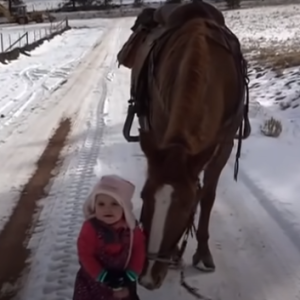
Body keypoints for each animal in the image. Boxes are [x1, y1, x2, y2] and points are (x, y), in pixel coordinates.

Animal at [117, 3, 251, 292]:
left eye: (189, 205)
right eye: (143, 196)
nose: (148, 277)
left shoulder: (223, 145)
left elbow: (209, 196)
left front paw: (202, 252)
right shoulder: (158, 135)